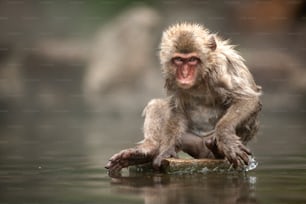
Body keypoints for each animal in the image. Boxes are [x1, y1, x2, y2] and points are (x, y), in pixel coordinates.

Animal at [105, 22, 260, 172]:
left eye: (192, 60)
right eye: (178, 60)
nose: (184, 74)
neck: (201, 76)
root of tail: (203, 152)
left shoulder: (221, 68)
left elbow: (246, 98)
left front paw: (226, 137)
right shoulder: (171, 76)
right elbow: (177, 108)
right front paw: (165, 151)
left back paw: (217, 150)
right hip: (191, 141)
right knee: (157, 104)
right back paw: (148, 151)